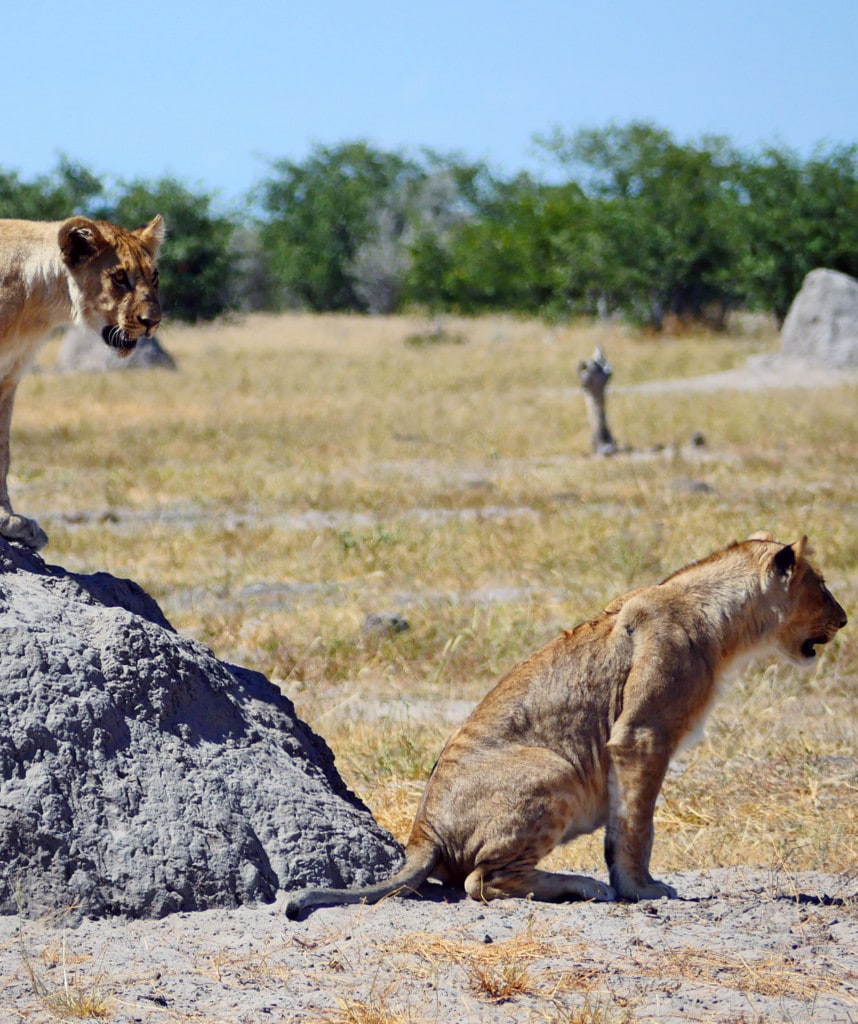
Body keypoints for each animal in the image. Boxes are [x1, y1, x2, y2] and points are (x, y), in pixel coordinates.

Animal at [0, 214, 164, 550]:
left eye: (154, 277)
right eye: (119, 278)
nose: (152, 322)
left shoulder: (9, 377)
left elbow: (2, 452)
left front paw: (9, 521)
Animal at [287, 534, 847, 917]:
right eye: (822, 585)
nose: (844, 619)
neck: (725, 624)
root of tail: (421, 833)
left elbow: (627, 825)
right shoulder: (641, 737)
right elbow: (637, 826)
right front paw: (641, 889)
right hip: (553, 770)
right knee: (480, 883)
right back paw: (583, 886)